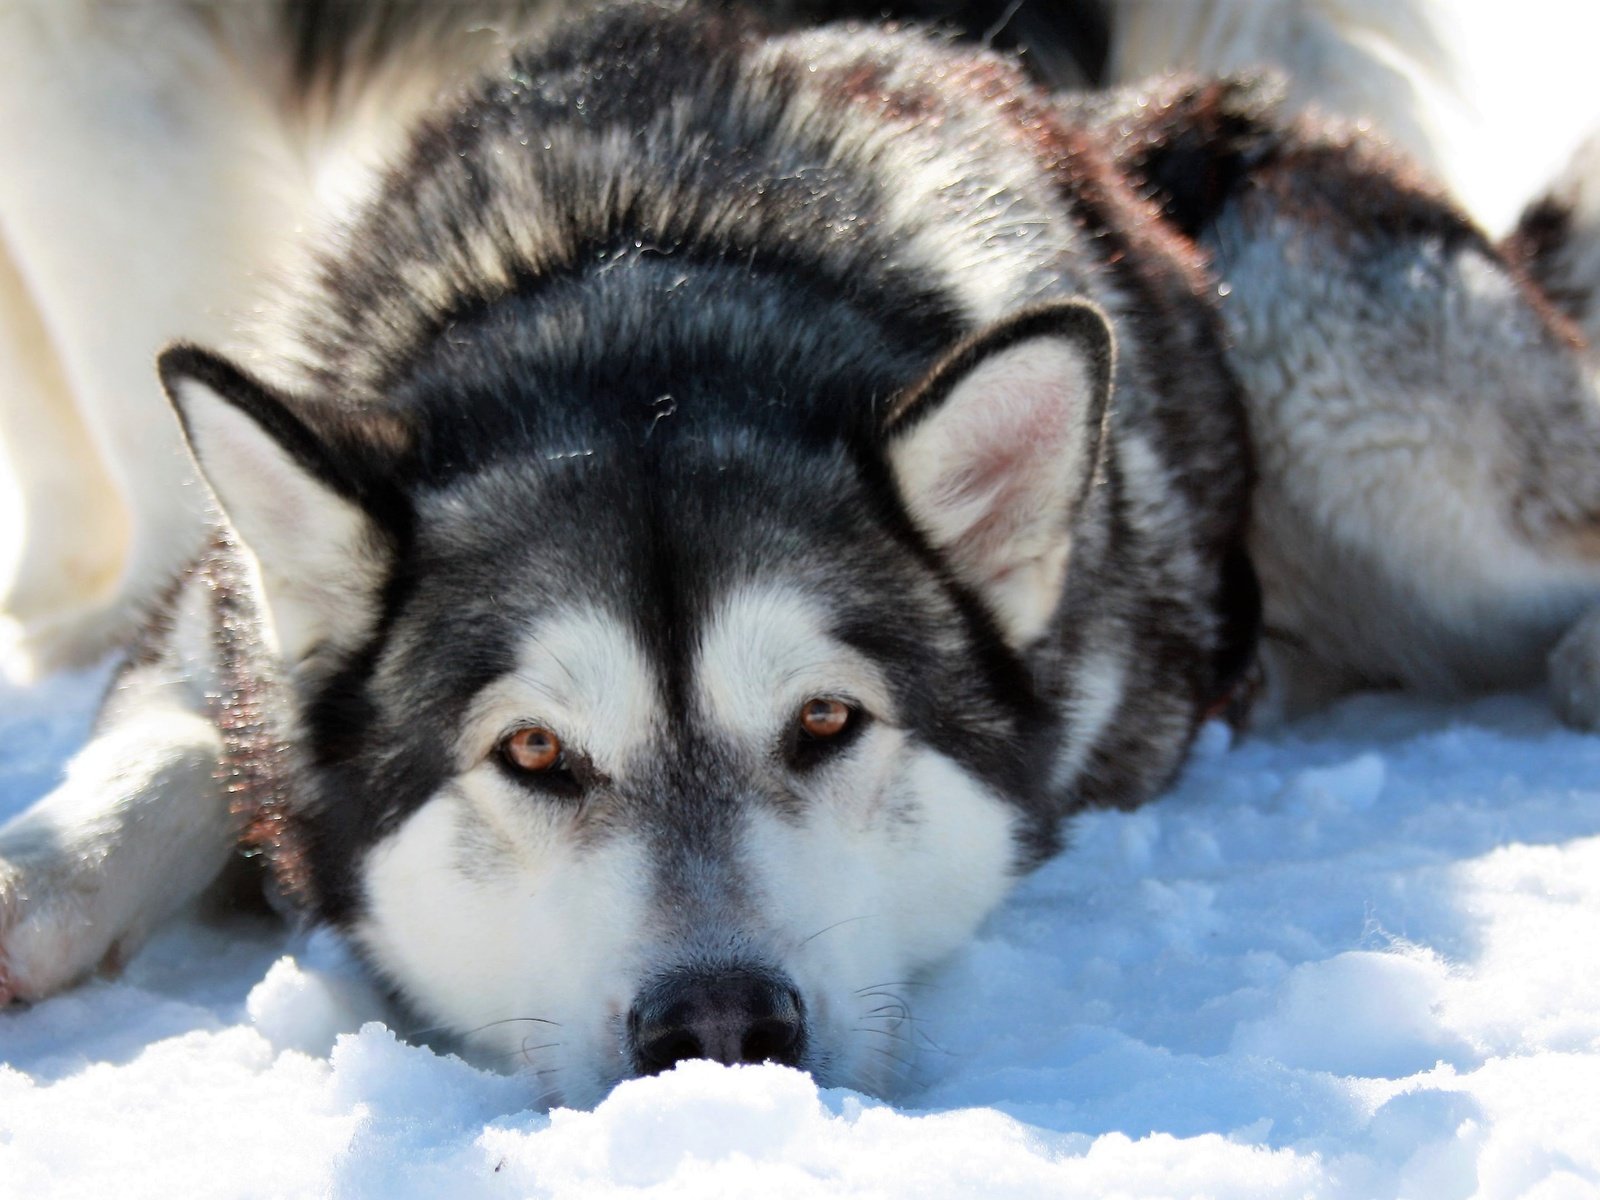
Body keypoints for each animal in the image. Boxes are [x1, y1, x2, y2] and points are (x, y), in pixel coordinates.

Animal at [9, 2, 1600, 1107]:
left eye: (828, 723)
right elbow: (159, 758)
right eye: (533, 754)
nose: (721, 1027)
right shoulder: (214, 630)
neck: (638, 264)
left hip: (1348, 400)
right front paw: (32, 888)